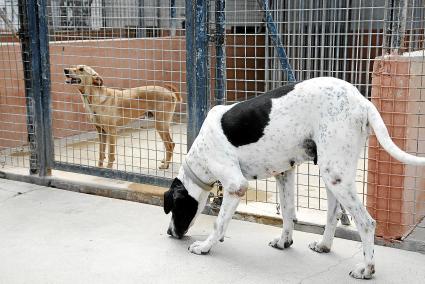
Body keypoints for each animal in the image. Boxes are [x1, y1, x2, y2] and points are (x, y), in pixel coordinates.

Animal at [163, 77, 424, 280]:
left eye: (175, 207)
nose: (169, 233)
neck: (200, 155)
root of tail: (362, 101)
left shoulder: (237, 185)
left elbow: (219, 223)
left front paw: (205, 246)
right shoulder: (284, 174)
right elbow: (288, 212)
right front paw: (284, 242)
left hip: (336, 176)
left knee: (367, 223)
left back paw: (366, 269)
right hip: (331, 175)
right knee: (333, 214)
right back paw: (324, 245)